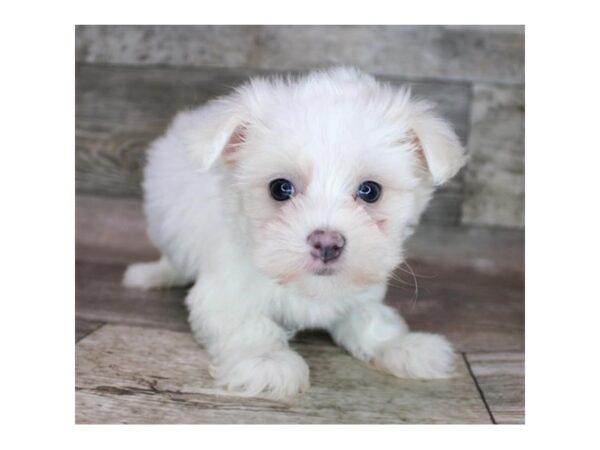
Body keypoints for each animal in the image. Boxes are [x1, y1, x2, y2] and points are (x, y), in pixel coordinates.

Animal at [123, 67, 468, 398]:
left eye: (370, 191)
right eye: (280, 188)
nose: (327, 243)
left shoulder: (358, 291)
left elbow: (371, 318)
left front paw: (401, 346)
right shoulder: (225, 292)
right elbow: (247, 324)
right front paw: (266, 360)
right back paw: (152, 274)